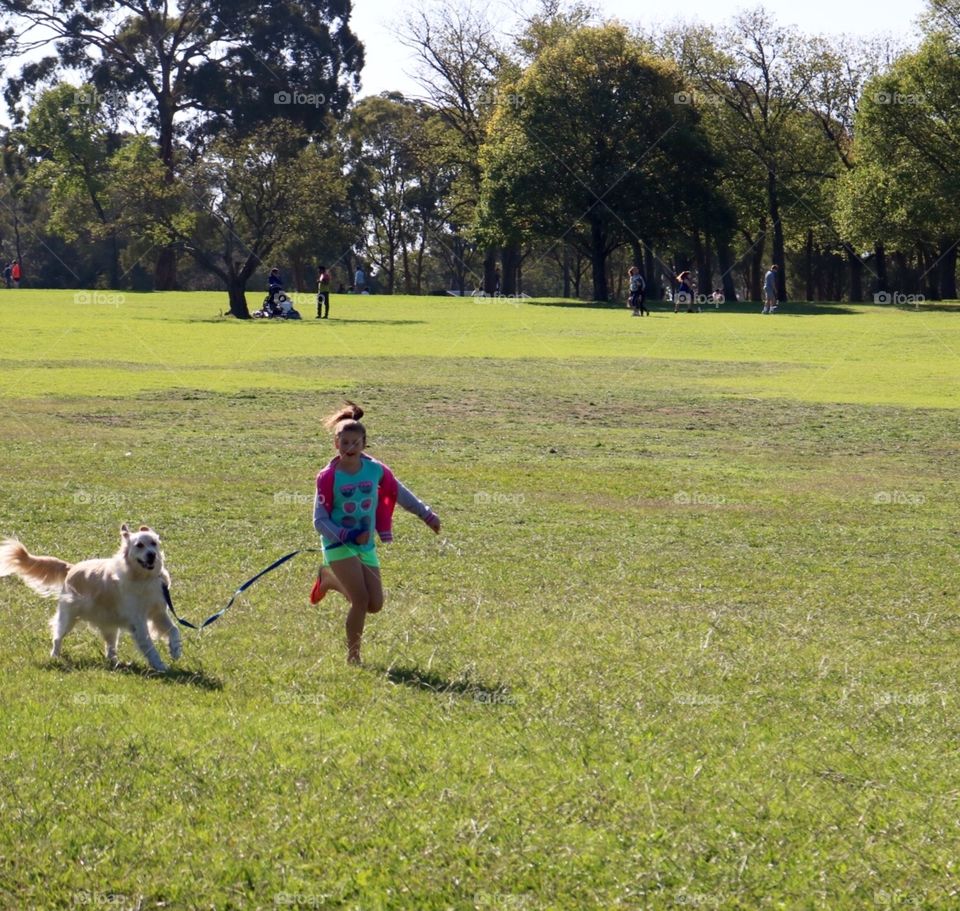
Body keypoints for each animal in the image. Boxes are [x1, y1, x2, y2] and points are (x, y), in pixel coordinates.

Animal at [0, 528, 183, 668]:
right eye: (139, 545)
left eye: (154, 543)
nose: (152, 555)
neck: (143, 578)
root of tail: (71, 567)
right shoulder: (138, 621)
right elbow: (149, 645)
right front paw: (160, 665)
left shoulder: (159, 613)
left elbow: (174, 630)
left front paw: (175, 650)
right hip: (68, 618)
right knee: (57, 636)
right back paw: (55, 656)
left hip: (110, 625)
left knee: (110, 648)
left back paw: (116, 663)